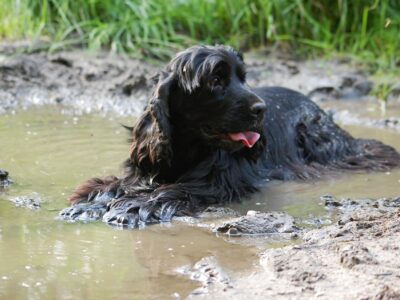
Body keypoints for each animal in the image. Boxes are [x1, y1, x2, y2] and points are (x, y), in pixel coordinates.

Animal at [59, 44, 400, 227]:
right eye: (216, 79)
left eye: (243, 77)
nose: (262, 109)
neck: (189, 148)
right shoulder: (146, 167)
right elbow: (116, 185)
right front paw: (89, 204)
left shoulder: (218, 182)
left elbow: (173, 191)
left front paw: (131, 208)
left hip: (315, 137)